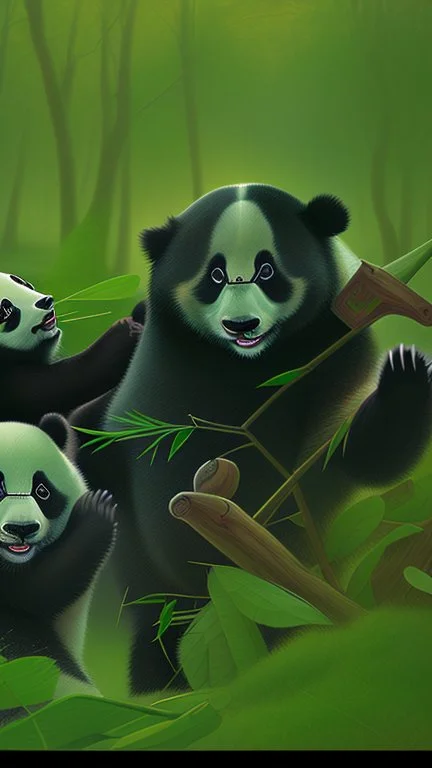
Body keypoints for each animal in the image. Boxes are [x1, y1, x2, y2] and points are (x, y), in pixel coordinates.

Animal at [0, 270, 145, 424]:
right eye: (6, 311)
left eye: (22, 283)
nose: (45, 301)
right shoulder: (14, 386)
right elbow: (80, 376)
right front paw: (128, 329)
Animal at [70, 183, 432, 693]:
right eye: (216, 274)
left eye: (267, 270)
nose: (241, 326)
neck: (249, 365)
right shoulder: (161, 377)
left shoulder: (333, 359)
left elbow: (357, 457)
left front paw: (406, 371)